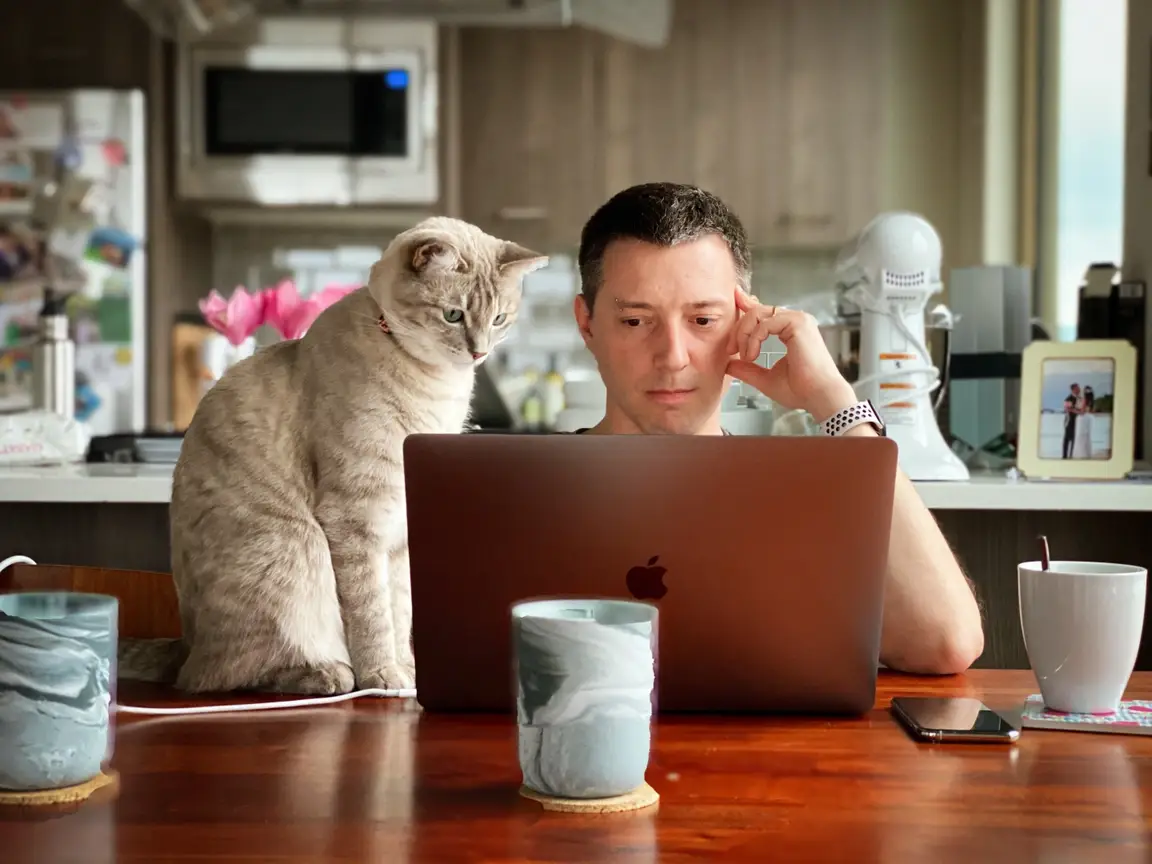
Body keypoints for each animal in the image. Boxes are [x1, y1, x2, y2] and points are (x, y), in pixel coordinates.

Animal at [119, 217, 546, 695]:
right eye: (453, 315)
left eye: (499, 319)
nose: (480, 352)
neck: (434, 384)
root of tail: (186, 645)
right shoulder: (356, 520)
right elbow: (372, 614)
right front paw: (383, 675)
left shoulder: (399, 535)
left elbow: (401, 611)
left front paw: (410, 672)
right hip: (294, 549)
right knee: (223, 676)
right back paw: (327, 674)